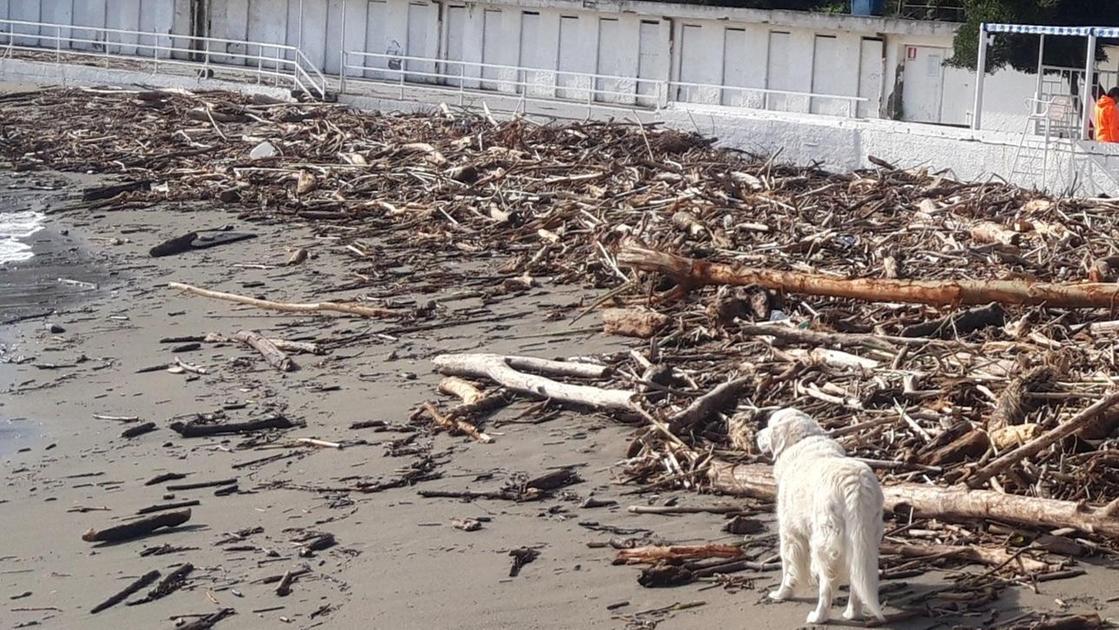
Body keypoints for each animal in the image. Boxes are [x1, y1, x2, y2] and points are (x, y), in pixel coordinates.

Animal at [756, 409, 886, 626]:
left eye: (769, 424)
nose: (756, 435)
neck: (801, 440)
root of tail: (854, 485)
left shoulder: (790, 533)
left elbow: (789, 568)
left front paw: (781, 594)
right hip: (864, 538)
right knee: (856, 579)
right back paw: (852, 613)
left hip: (825, 543)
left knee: (828, 584)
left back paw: (818, 617)